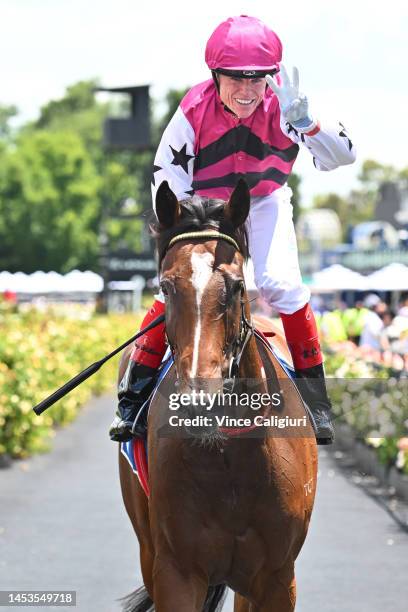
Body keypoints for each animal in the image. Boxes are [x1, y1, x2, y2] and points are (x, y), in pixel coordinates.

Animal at [118, 179, 318, 608]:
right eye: (165, 287)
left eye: (237, 286)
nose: (199, 405)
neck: (230, 460)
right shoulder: (176, 571)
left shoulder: (278, 577)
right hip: (147, 545)